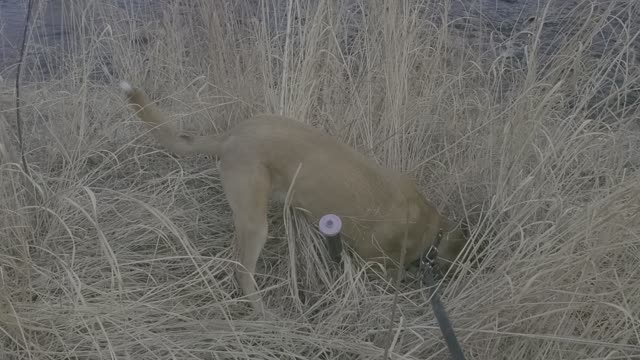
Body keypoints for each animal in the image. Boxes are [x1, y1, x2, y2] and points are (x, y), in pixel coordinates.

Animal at [119, 80, 464, 314]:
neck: (428, 225)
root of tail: (231, 135)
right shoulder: (374, 263)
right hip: (255, 224)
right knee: (242, 271)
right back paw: (262, 312)